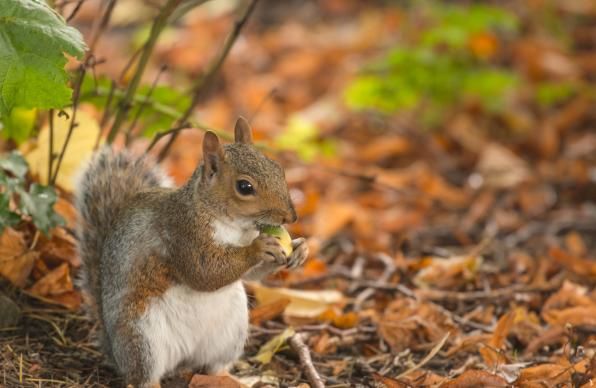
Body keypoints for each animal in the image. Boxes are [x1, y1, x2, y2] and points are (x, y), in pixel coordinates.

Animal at [74, 118, 308, 388]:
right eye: (245, 187)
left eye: (278, 169)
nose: (291, 217)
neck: (232, 225)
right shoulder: (182, 233)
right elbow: (204, 272)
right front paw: (259, 248)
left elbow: (250, 276)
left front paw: (301, 249)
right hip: (142, 337)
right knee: (143, 377)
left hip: (230, 333)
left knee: (215, 367)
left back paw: (234, 379)